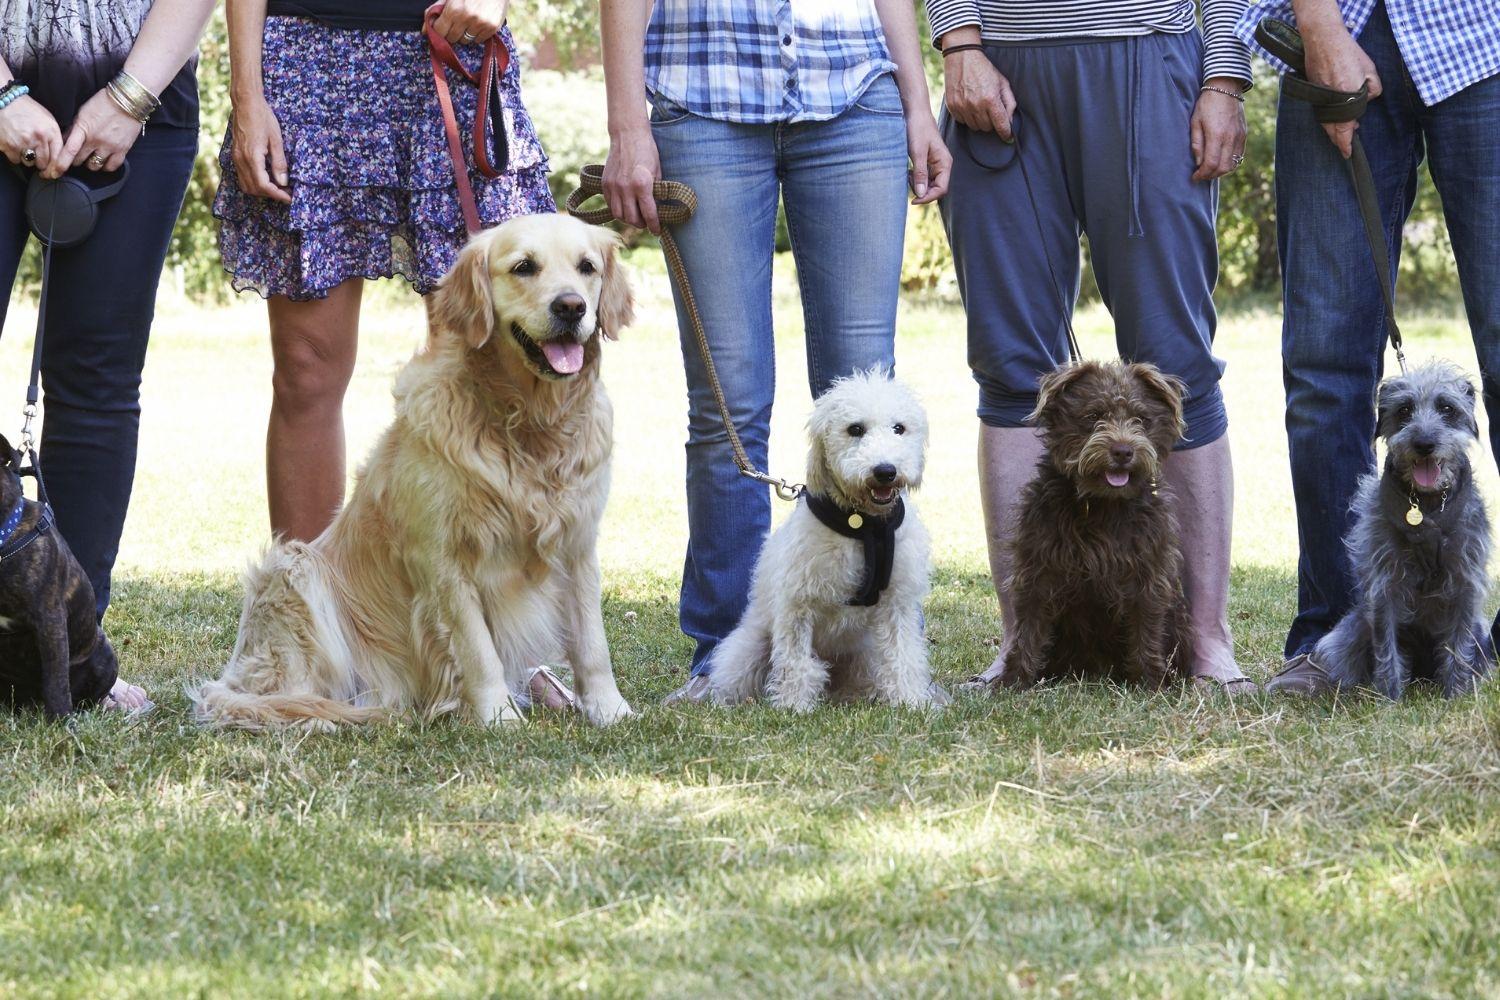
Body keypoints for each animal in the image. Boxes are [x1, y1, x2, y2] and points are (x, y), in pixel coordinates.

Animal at [192, 217, 633, 728]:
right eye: (524, 266)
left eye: (587, 268)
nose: (571, 306)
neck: (528, 422)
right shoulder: (443, 558)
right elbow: (479, 651)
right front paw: (498, 718)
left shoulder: (579, 544)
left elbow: (592, 643)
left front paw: (610, 709)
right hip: (293, 570)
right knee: (278, 694)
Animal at [705, 370, 936, 710]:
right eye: (855, 429)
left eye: (899, 428)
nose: (885, 471)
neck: (862, 526)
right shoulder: (797, 605)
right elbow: (796, 662)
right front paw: (793, 706)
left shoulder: (898, 603)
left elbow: (902, 655)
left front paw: (910, 701)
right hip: (748, 648)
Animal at [996, 364, 1194, 692]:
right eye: (1093, 416)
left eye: (1141, 420)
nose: (1123, 450)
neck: (1103, 505)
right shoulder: (1038, 567)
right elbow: (1028, 628)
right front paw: (1013, 681)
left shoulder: (1148, 573)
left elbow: (1146, 627)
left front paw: (1150, 682)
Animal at [1320, 364, 1494, 701]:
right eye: (1404, 410)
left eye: (1447, 408)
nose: (1424, 443)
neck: (1426, 505)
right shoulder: (1384, 584)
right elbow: (1386, 644)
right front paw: (1389, 698)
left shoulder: (1466, 581)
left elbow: (1459, 644)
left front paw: (1455, 694)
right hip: (1347, 634)